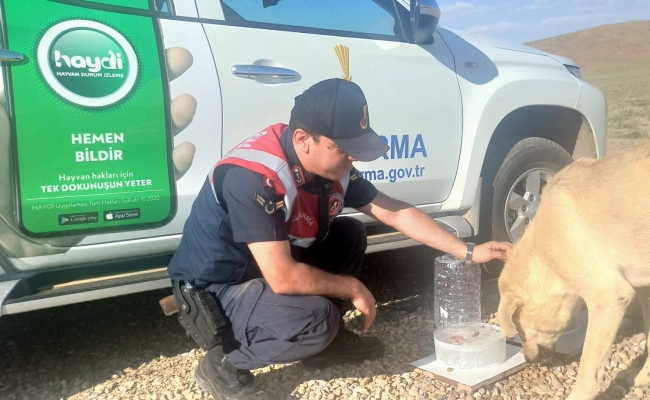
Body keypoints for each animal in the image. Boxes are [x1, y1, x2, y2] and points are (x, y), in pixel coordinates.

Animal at [496, 138, 648, 400]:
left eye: (521, 331)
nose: (528, 359)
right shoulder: (644, 288)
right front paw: (644, 376)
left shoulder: (608, 298)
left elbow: (588, 369)